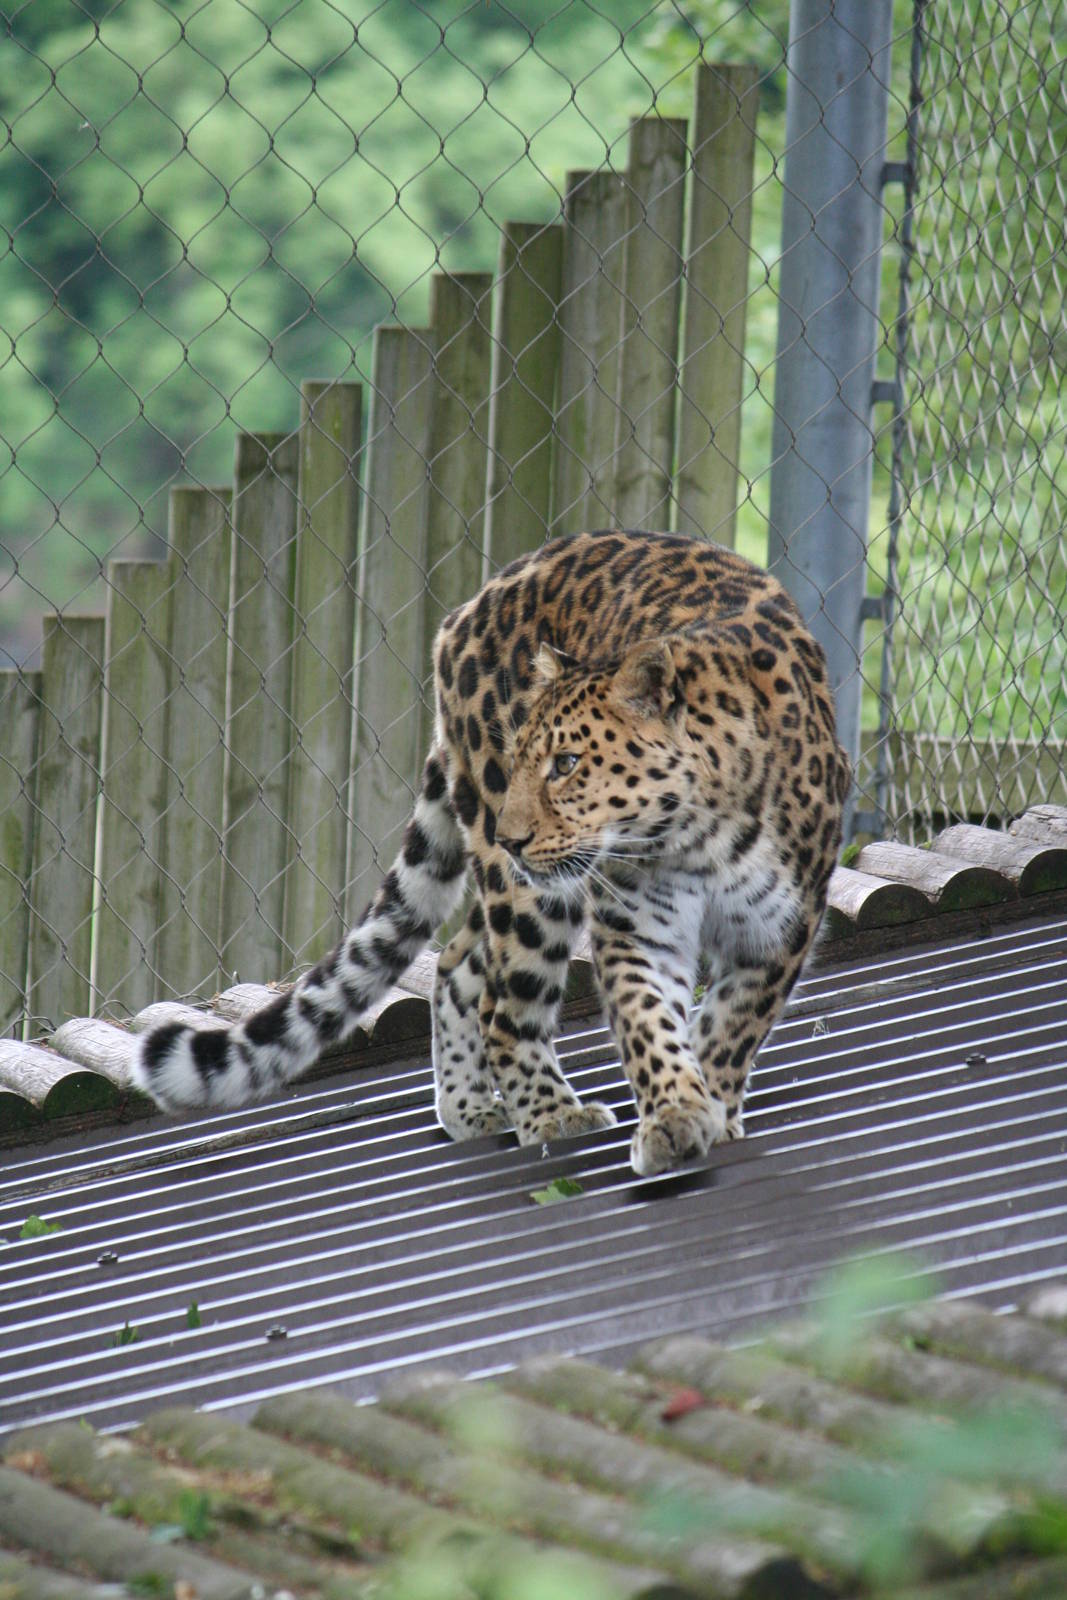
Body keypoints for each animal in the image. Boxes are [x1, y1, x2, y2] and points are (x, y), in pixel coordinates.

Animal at [135, 529, 849, 1176]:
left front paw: (708, 1105)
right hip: (528, 892)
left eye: (566, 764)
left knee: (457, 965)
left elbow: (731, 1030)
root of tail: (465, 611)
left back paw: (472, 1108)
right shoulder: (636, 925)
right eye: (523, 759)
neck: (697, 834)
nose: (512, 837)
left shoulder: (782, 931)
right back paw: (550, 1114)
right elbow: (648, 1022)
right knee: (504, 1008)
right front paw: (674, 1114)